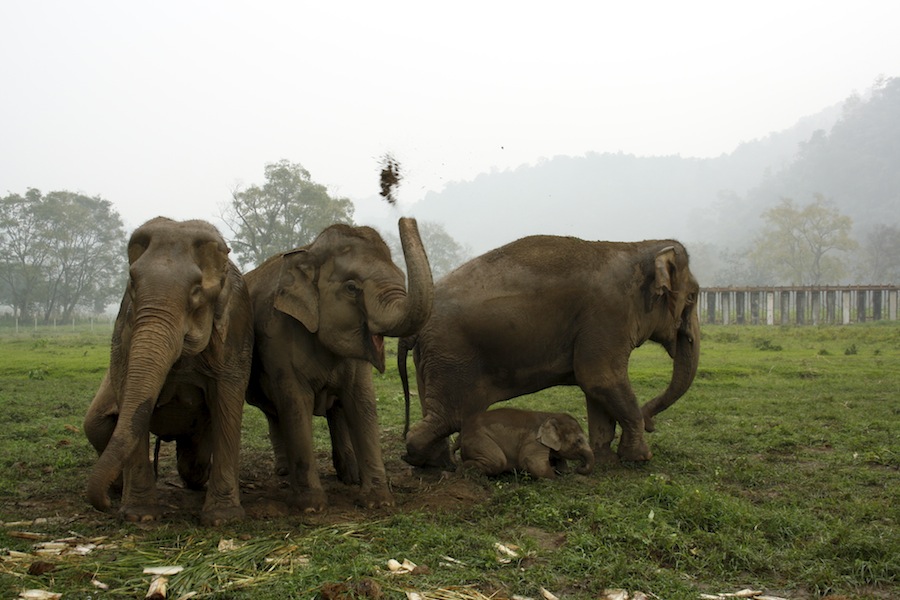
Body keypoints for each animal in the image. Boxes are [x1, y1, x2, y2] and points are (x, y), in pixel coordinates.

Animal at [82, 217, 251, 524]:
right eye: (132, 284)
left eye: (196, 291)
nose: (105, 505)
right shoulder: (123, 329)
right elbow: (129, 395)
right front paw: (140, 516)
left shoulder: (236, 325)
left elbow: (227, 402)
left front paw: (223, 519)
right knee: (95, 425)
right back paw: (118, 487)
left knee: (193, 461)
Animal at [244, 218, 430, 512]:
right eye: (352, 288)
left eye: (402, 277)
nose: (406, 219)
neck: (309, 251)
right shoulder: (279, 340)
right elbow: (296, 404)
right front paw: (311, 507)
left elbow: (362, 402)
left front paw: (378, 502)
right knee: (274, 411)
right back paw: (285, 474)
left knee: (334, 410)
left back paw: (349, 476)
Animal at [400, 236, 704, 468]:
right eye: (692, 297)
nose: (651, 422)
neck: (637, 247)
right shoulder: (608, 315)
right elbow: (601, 378)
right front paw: (640, 458)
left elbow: (595, 387)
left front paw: (604, 458)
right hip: (453, 357)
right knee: (449, 417)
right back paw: (436, 463)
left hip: (430, 359)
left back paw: (438, 460)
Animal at [454, 408, 596, 478]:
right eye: (578, 441)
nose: (578, 468)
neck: (549, 415)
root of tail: (462, 433)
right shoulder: (534, 440)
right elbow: (534, 462)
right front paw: (555, 477)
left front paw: (563, 471)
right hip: (478, 440)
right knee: (498, 461)